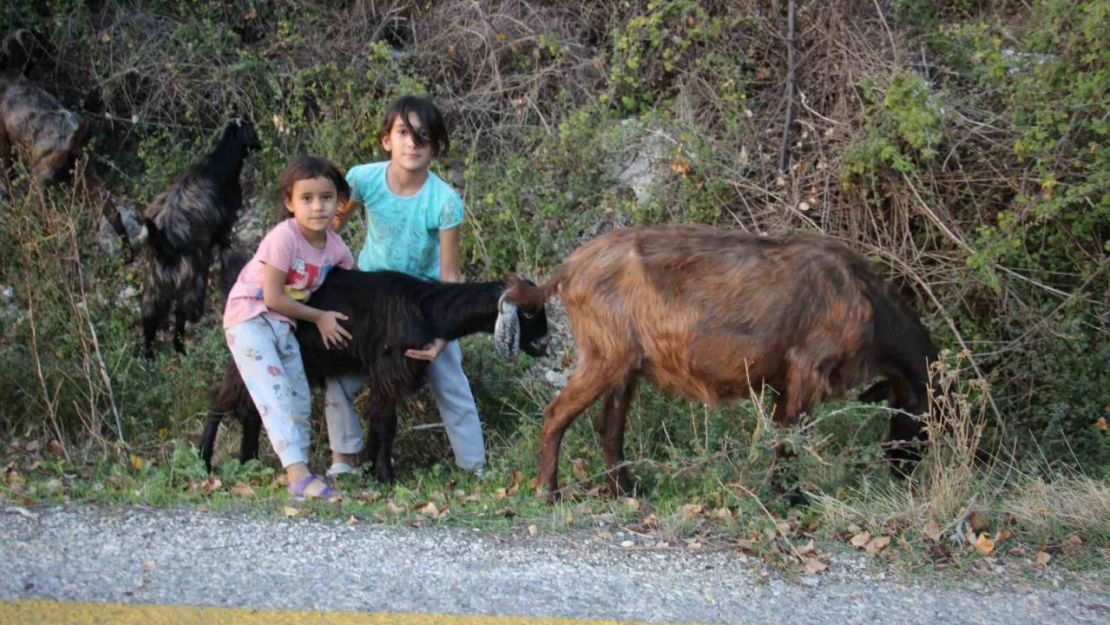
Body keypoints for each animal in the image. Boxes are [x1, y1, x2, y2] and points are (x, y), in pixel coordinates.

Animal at [137, 119, 258, 359]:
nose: (258, 143)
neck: (220, 160)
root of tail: (163, 242)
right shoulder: (225, 224)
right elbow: (224, 241)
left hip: (155, 285)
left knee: (150, 318)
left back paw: (150, 355)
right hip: (192, 280)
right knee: (181, 315)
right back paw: (181, 347)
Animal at [203, 259, 550, 484]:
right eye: (527, 313)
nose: (543, 344)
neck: (425, 308)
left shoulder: (385, 373)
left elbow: (378, 420)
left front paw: (371, 470)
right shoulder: (389, 369)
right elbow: (387, 423)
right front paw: (385, 476)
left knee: (250, 407)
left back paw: (248, 460)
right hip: (254, 347)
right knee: (222, 399)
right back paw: (205, 462)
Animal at [508, 226, 941, 503]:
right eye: (925, 417)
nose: (903, 471)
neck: (867, 302)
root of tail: (569, 269)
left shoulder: (784, 384)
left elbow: (778, 438)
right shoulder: (807, 373)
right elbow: (787, 442)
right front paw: (790, 498)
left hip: (624, 367)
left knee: (609, 427)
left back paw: (627, 492)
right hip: (604, 356)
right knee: (556, 414)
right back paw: (548, 493)